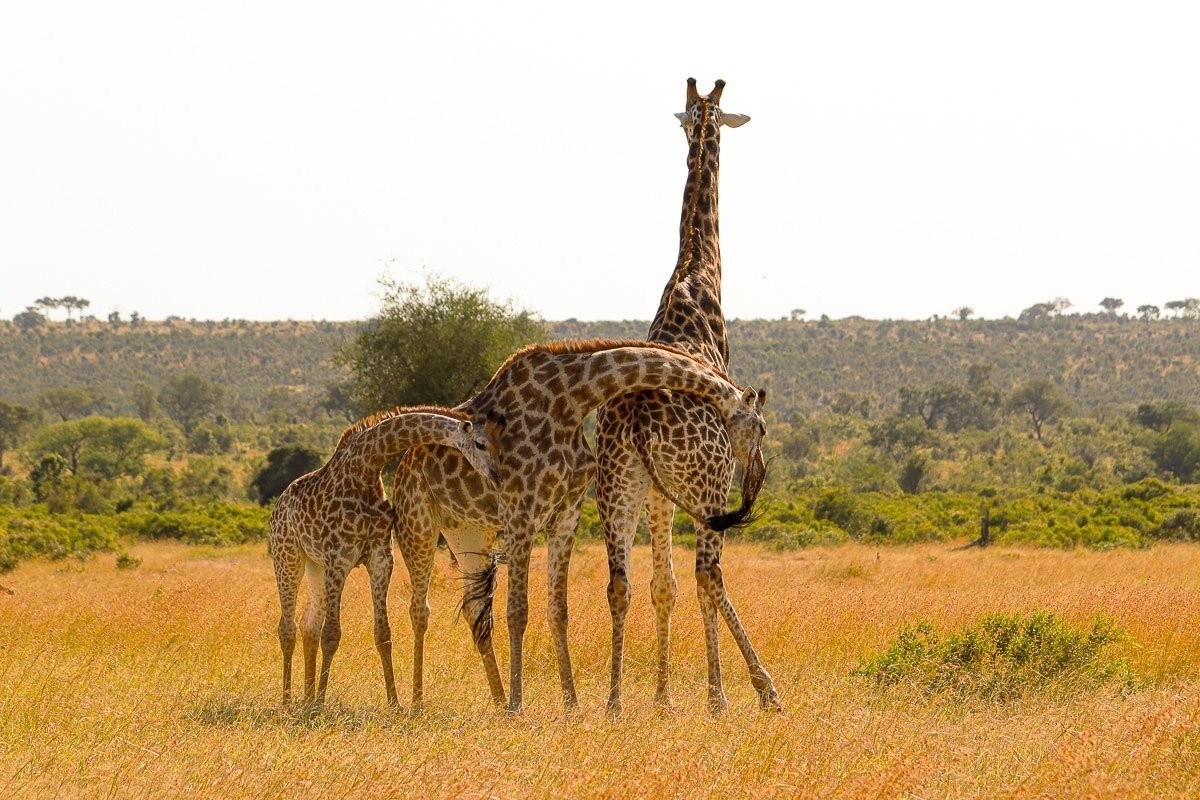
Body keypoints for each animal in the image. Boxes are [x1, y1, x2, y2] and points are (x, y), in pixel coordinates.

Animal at [269, 405, 499, 707]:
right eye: (481, 444)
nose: (498, 475)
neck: (366, 467)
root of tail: (277, 508)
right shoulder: (338, 558)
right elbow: (332, 634)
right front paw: (321, 703)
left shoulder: (380, 557)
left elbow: (383, 634)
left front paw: (394, 703)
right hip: (287, 555)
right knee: (288, 628)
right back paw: (287, 701)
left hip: (314, 565)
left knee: (309, 625)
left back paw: (305, 698)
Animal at [392, 338, 766, 712]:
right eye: (761, 427)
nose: (757, 476)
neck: (569, 399)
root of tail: (403, 463)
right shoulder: (520, 512)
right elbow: (518, 611)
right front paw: (518, 706)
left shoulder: (565, 513)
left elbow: (558, 611)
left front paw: (571, 705)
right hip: (418, 523)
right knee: (419, 609)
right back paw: (419, 703)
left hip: (467, 533)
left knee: (474, 611)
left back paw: (496, 701)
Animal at [594, 77, 782, 716]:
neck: (697, 275)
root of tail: (634, 417)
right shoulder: (712, 483)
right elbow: (696, 581)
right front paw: (737, 691)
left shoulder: (657, 493)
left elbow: (661, 586)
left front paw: (660, 696)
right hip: (704, 487)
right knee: (710, 575)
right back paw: (728, 694)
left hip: (617, 489)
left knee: (620, 583)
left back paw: (614, 702)